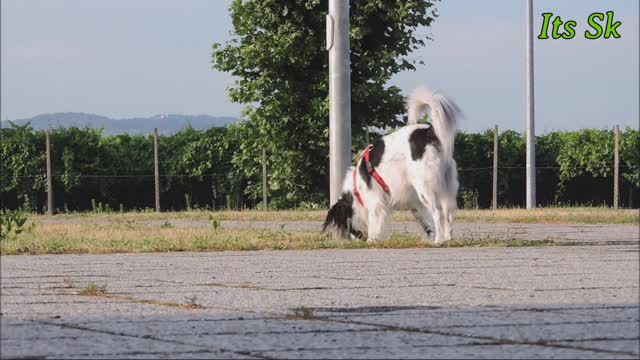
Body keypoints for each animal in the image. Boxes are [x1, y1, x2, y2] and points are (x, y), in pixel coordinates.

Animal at [324, 86, 460, 245]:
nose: (355, 239)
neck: (356, 190)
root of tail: (428, 132)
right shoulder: (415, 204)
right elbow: (425, 224)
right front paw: (427, 235)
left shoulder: (375, 202)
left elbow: (374, 223)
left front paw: (371, 240)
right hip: (446, 187)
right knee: (448, 213)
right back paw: (447, 238)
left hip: (424, 187)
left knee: (437, 212)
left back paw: (438, 240)